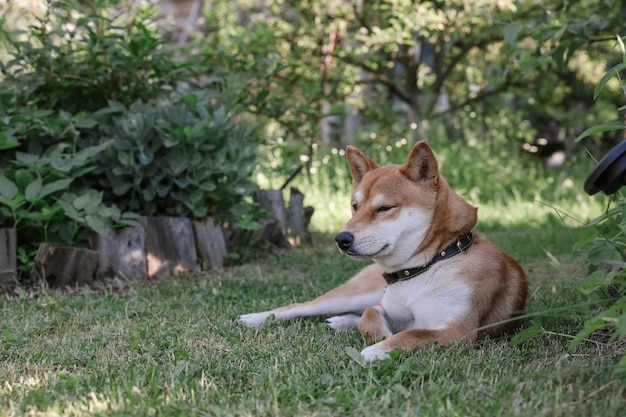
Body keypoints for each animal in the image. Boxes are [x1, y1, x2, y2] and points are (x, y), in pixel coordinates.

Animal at [239, 141, 528, 360]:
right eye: (355, 206)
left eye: (385, 208)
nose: (341, 239)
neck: (427, 264)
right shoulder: (385, 306)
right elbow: (370, 315)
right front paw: (379, 337)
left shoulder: (457, 331)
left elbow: (410, 334)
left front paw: (376, 349)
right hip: (354, 293)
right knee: (304, 306)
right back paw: (256, 317)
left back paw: (341, 322)